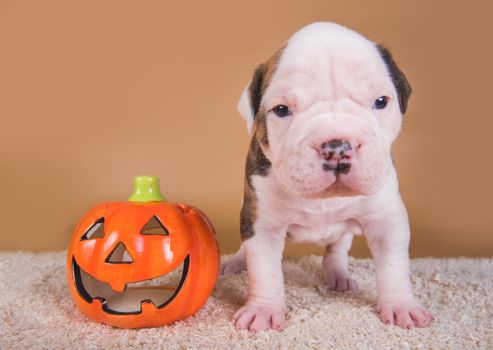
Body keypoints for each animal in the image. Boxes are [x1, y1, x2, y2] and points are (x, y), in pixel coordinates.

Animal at [221, 21, 432, 330]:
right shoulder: (262, 221)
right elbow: (264, 269)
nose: (337, 147)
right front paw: (263, 310)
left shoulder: (387, 220)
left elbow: (394, 266)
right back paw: (235, 262)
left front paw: (401, 306)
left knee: (337, 247)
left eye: (381, 101)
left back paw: (338, 275)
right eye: (281, 110)